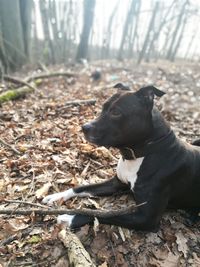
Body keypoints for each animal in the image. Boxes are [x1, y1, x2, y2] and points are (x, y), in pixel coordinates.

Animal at [42, 86, 200, 232]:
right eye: (103, 108)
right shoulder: (116, 183)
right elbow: (82, 187)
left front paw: (70, 218)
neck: (138, 155)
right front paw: (57, 196)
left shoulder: (147, 218)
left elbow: (103, 214)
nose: (84, 127)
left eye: (116, 112)